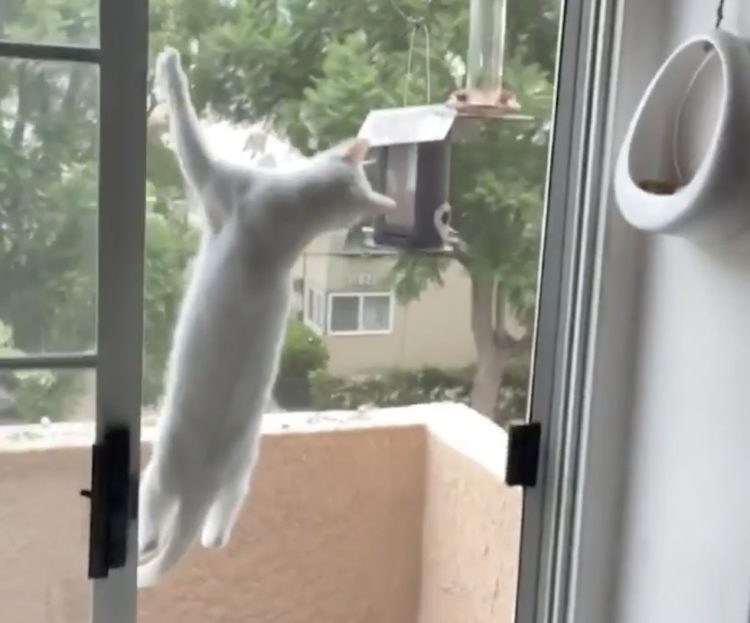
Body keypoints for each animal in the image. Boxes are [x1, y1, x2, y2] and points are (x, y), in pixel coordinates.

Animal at [137, 46, 396, 589]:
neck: (292, 219)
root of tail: (202, 486)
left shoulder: (216, 182)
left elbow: (187, 129)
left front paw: (170, 66)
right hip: (240, 475)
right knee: (217, 533)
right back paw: (212, 536)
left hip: (159, 472)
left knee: (152, 528)